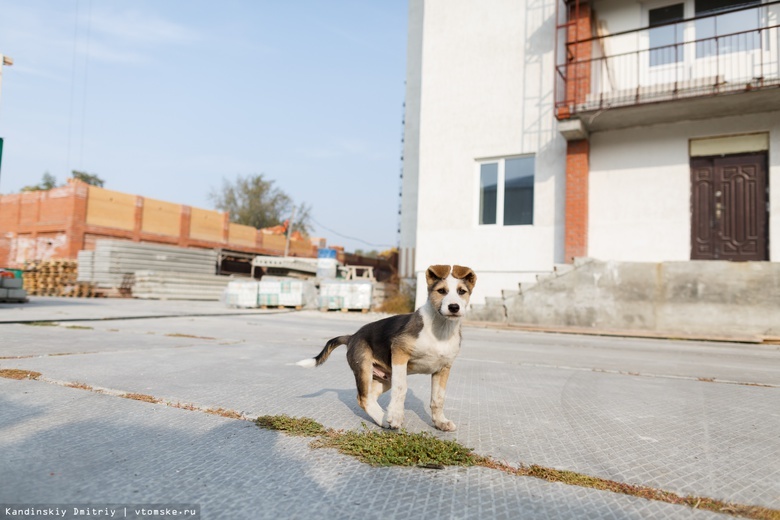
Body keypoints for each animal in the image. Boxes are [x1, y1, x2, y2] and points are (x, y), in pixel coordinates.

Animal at [296, 264, 476, 430]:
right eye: (441, 291)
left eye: (462, 291)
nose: (454, 307)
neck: (440, 329)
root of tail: (352, 337)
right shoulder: (399, 352)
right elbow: (401, 387)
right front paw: (395, 415)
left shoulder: (443, 368)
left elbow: (438, 398)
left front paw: (440, 422)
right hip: (364, 367)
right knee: (364, 398)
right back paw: (384, 418)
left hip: (384, 378)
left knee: (368, 396)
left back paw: (382, 416)